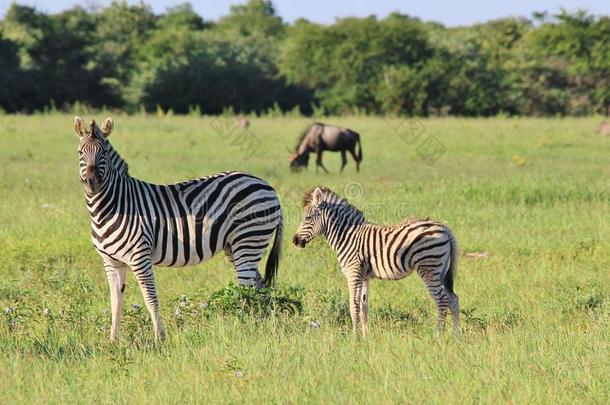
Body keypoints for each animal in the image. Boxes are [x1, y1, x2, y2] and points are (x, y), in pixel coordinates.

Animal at [74, 117, 282, 340]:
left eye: (103, 152)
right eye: (80, 152)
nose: (92, 183)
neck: (113, 205)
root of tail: (267, 185)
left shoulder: (140, 257)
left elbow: (150, 299)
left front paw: (159, 339)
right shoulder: (112, 263)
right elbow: (115, 303)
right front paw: (113, 341)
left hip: (248, 239)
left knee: (247, 289)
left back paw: (243, 327)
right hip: (235, 246)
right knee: (259, 285)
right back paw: (262, 323)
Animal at [290, 186, 456, 334]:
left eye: (307, 218)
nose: (295, 241)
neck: (347, 236)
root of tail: (444, 228)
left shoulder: (353, 273)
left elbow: (353, 306)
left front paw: (355, 338)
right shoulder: (364, 276)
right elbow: (363, 308)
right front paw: (366, 338)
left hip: (429, 267)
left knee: (442, 301)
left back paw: (438, 336)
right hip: (441, 270)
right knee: (453, 299)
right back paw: (456, 335)